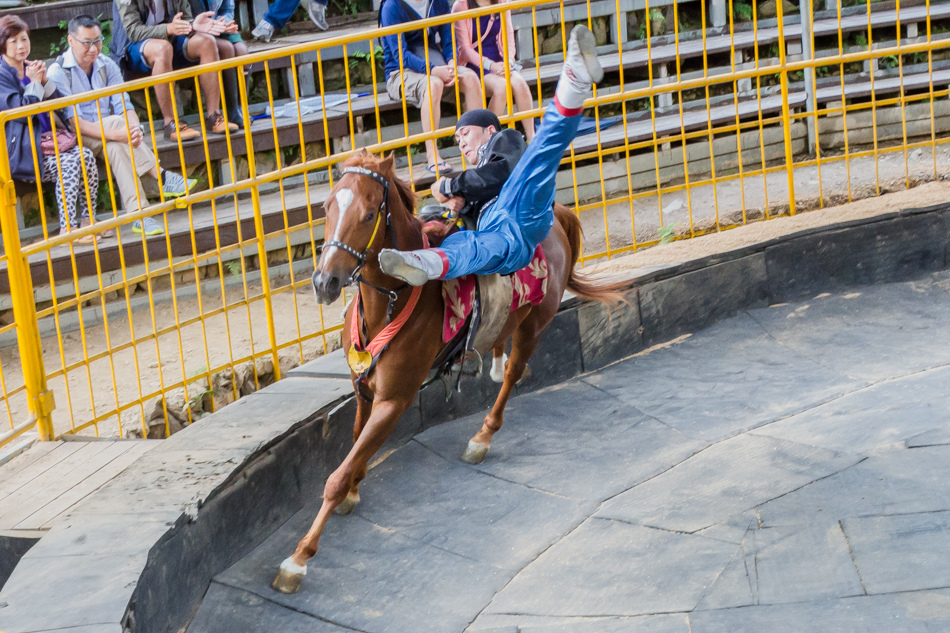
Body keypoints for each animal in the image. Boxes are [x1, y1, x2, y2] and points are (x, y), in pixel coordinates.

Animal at [272, 152, 620, 592]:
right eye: (327, 207)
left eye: (368, 214)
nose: (324, 281)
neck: (392, 299)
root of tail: (556, 217)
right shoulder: (363, 391)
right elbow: (355, 444)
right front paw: (354, 485)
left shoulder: (394, 401)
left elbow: (337, 474)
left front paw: (298, 559)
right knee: (504, 358)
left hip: (534, 323)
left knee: (512, 376)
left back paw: (483, 436)